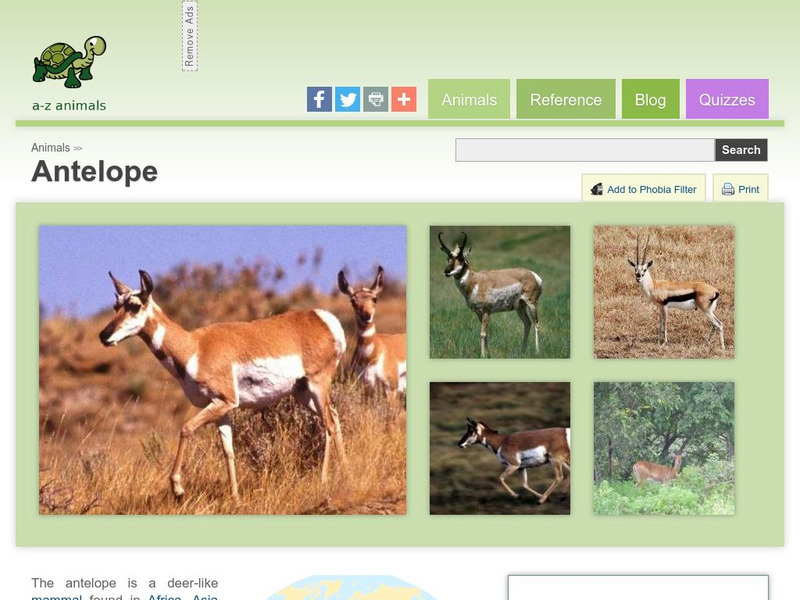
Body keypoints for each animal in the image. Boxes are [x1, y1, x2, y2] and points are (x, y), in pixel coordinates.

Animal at [98, 270, 348, 501]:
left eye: (134, 305)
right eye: (115, 305)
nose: (103, 335)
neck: (194, 347)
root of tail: (322, 319)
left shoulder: (223, 401)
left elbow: (186, 428)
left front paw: (177, 488)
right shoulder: (222, 409)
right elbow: (228, 451)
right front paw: (235, 497)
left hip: (317, 384)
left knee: (328, 424)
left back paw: (324, 480)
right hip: (302, 392)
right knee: (334, 416)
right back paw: (345, 471)